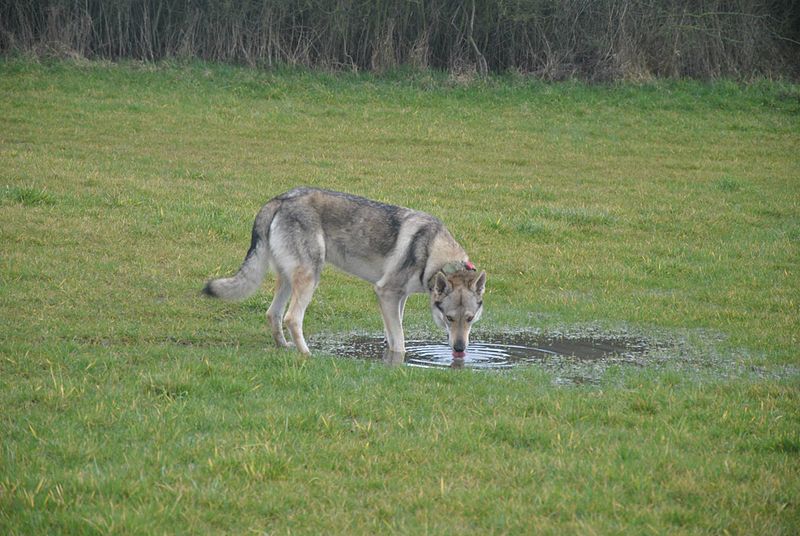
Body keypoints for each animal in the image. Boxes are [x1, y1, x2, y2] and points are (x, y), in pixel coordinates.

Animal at [203, 186, 484, 358]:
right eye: (449, 318)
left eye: (470, 319)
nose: (460, 349)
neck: (433, 251)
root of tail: (280, 199)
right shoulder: (385, 293)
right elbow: (400, 343)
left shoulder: (398, 298)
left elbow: (392, 333)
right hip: (310, 277)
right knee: (292, 318)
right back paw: (307, 355)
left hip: (288, 278)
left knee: (273, 314)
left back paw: (284, 347)